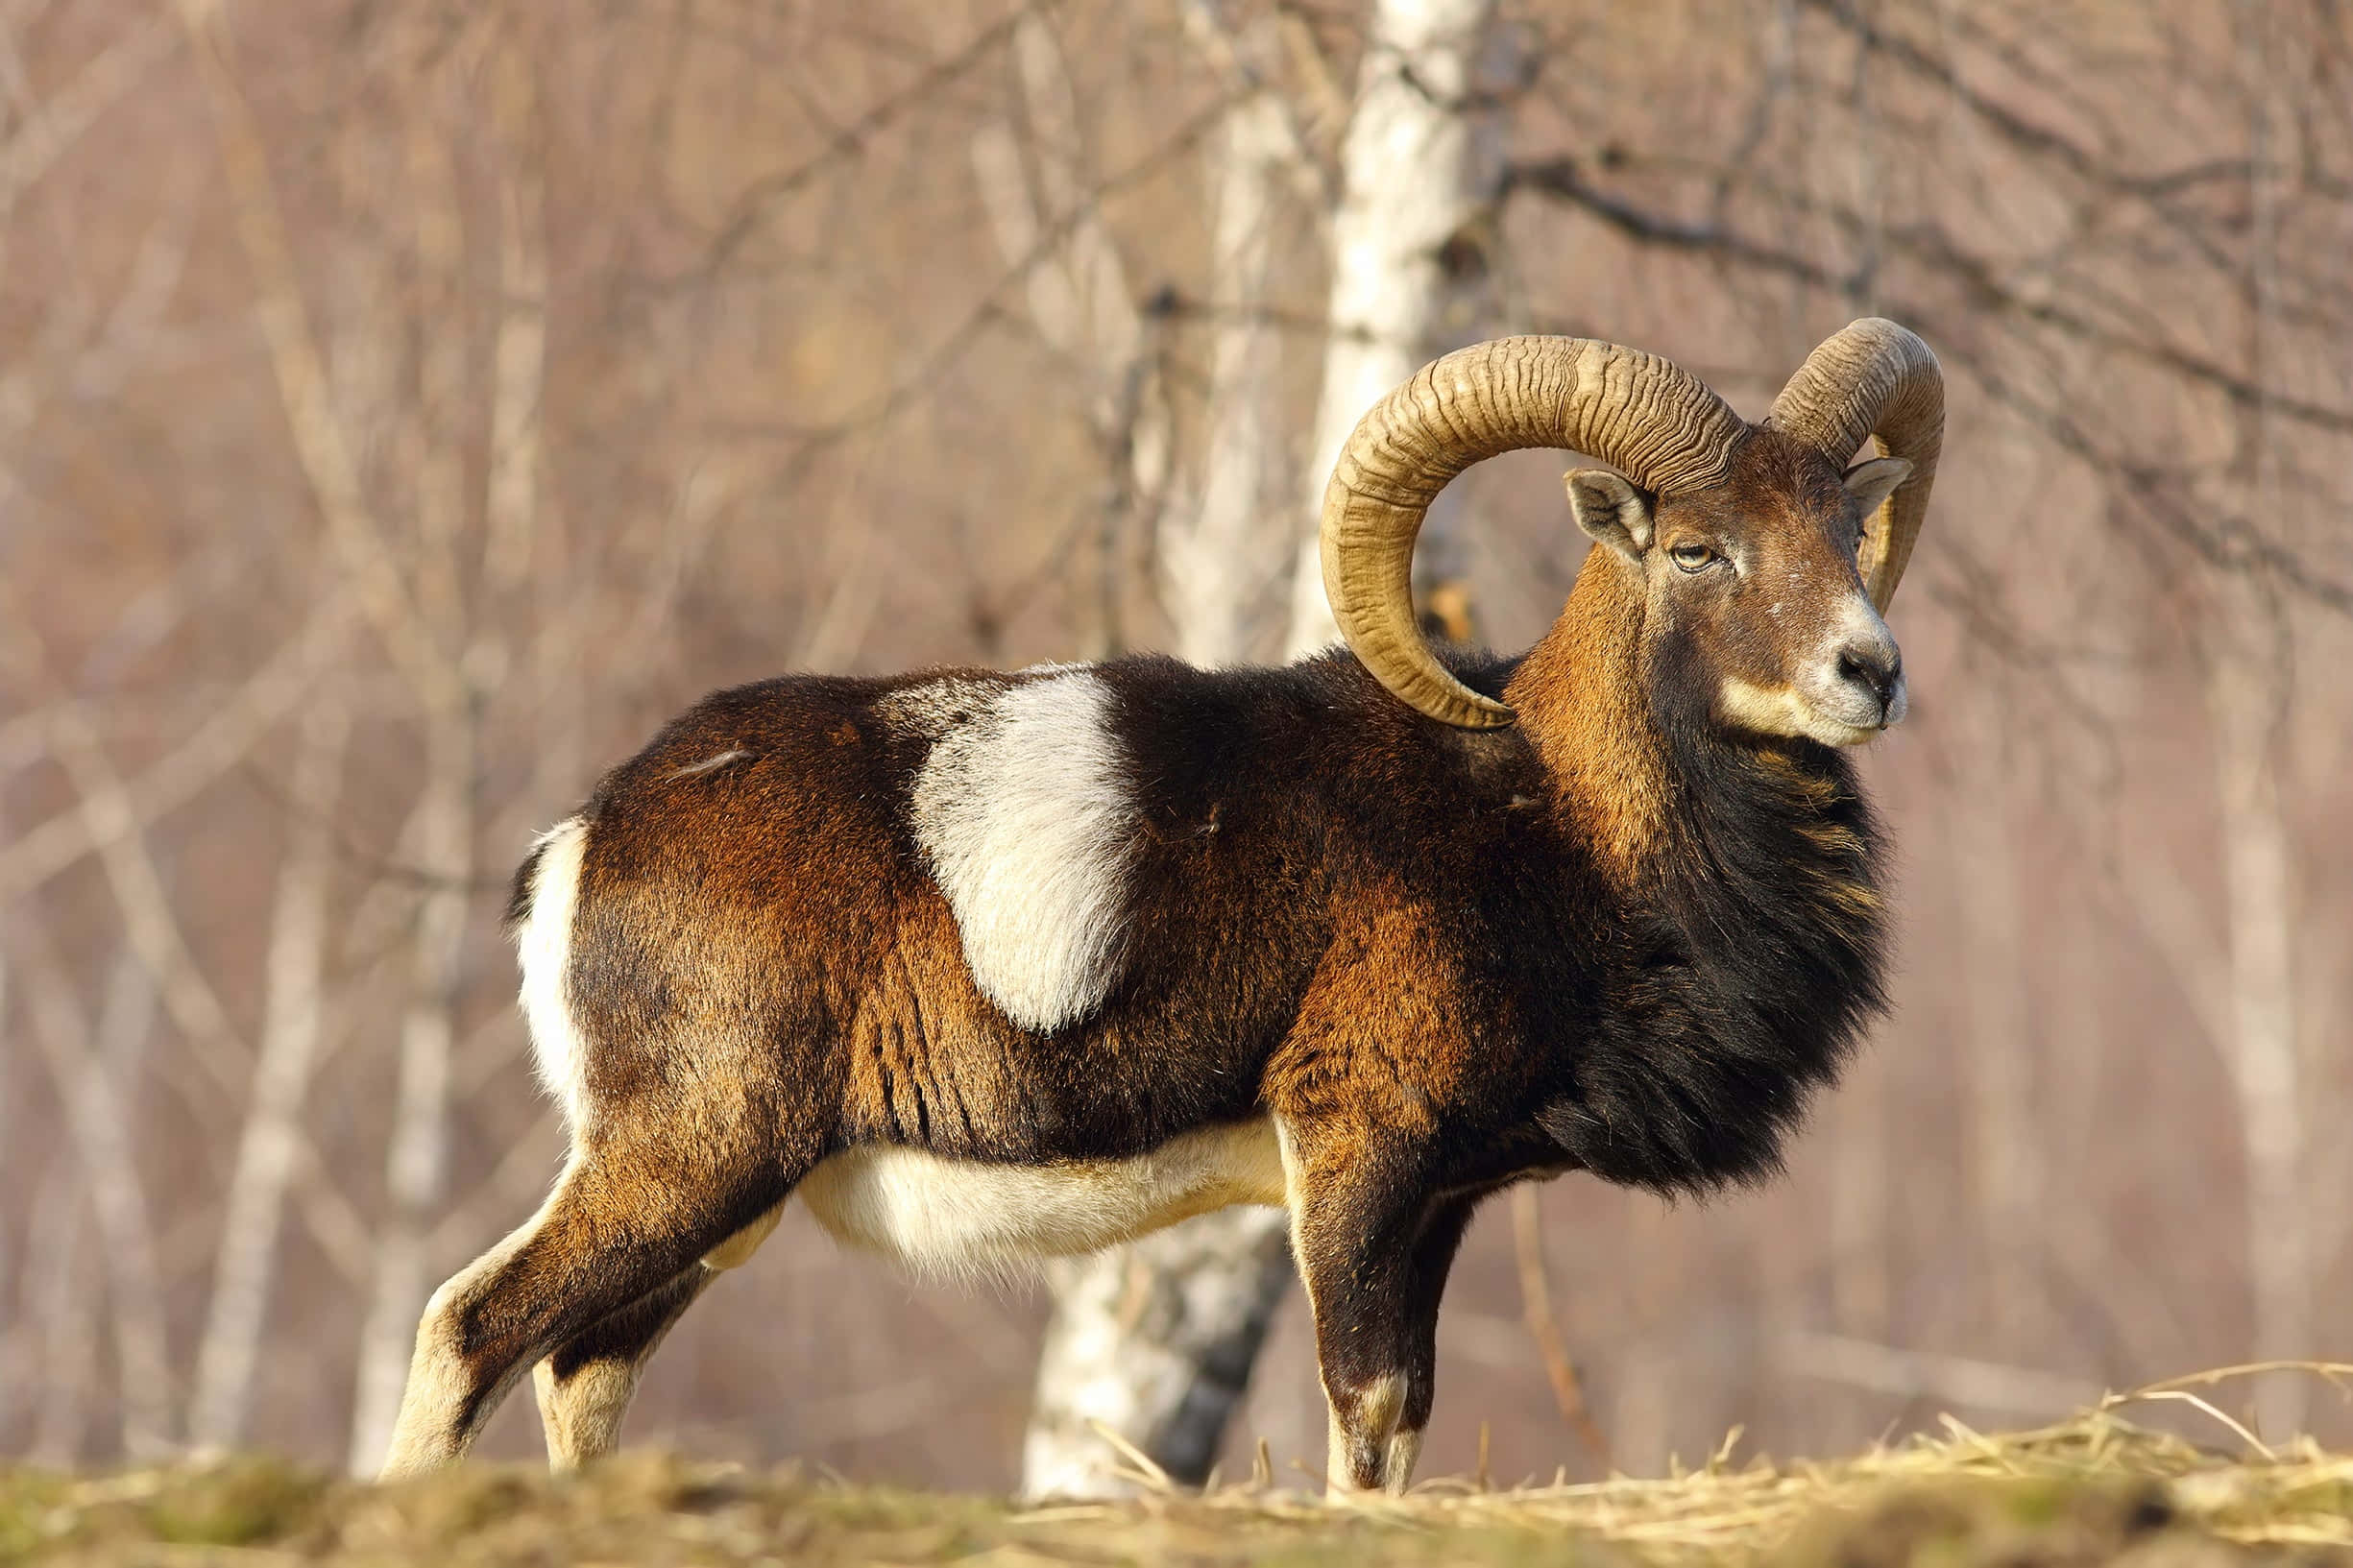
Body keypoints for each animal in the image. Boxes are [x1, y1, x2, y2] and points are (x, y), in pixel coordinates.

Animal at [378, 318, 1943, 1495]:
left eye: (1841, 526)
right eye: (1695, 549)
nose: (1868, 673)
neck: (1545, 816)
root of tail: (587, 840)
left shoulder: (1439, 1200)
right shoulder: (1358, 1154)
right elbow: (1364, 1420)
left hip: (715, 1207)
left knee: (580, 1373)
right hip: (688, 1159)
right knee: (470, 1327)